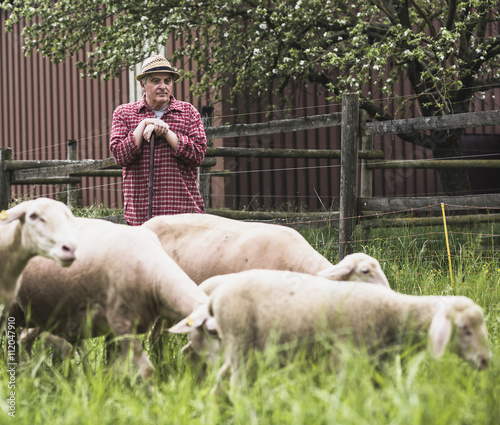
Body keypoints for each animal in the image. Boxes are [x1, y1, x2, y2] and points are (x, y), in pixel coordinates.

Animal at [170, 270, 490, 386]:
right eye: (464, 328)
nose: (487, 361)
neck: (394, 311)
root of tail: (215, 297)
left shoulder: (380, 363)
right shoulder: (345, 358)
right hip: (240, 344)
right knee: (237, 385)